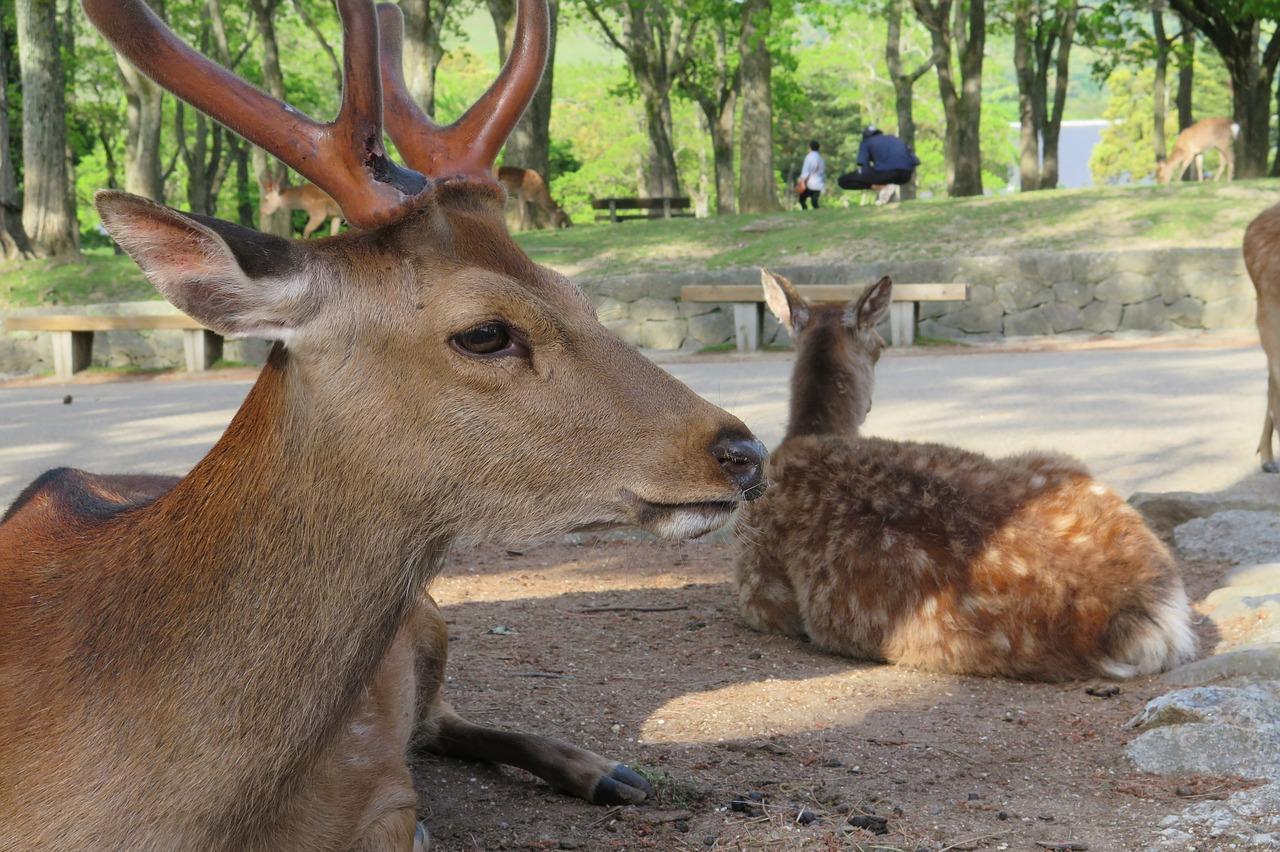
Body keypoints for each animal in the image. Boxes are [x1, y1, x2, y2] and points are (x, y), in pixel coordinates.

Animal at [0, 1, 768, 850]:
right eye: (486, 332)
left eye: (579, 294)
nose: (744, 452)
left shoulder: (384, 794)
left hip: (432, 619)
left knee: (442, 719)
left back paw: (608, 771)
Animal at [733, 269, 1196, 682]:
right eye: (881, 345)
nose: (869, 405)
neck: (806, 435)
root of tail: (1147, 615)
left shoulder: (757, 591)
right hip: (1060, 462)